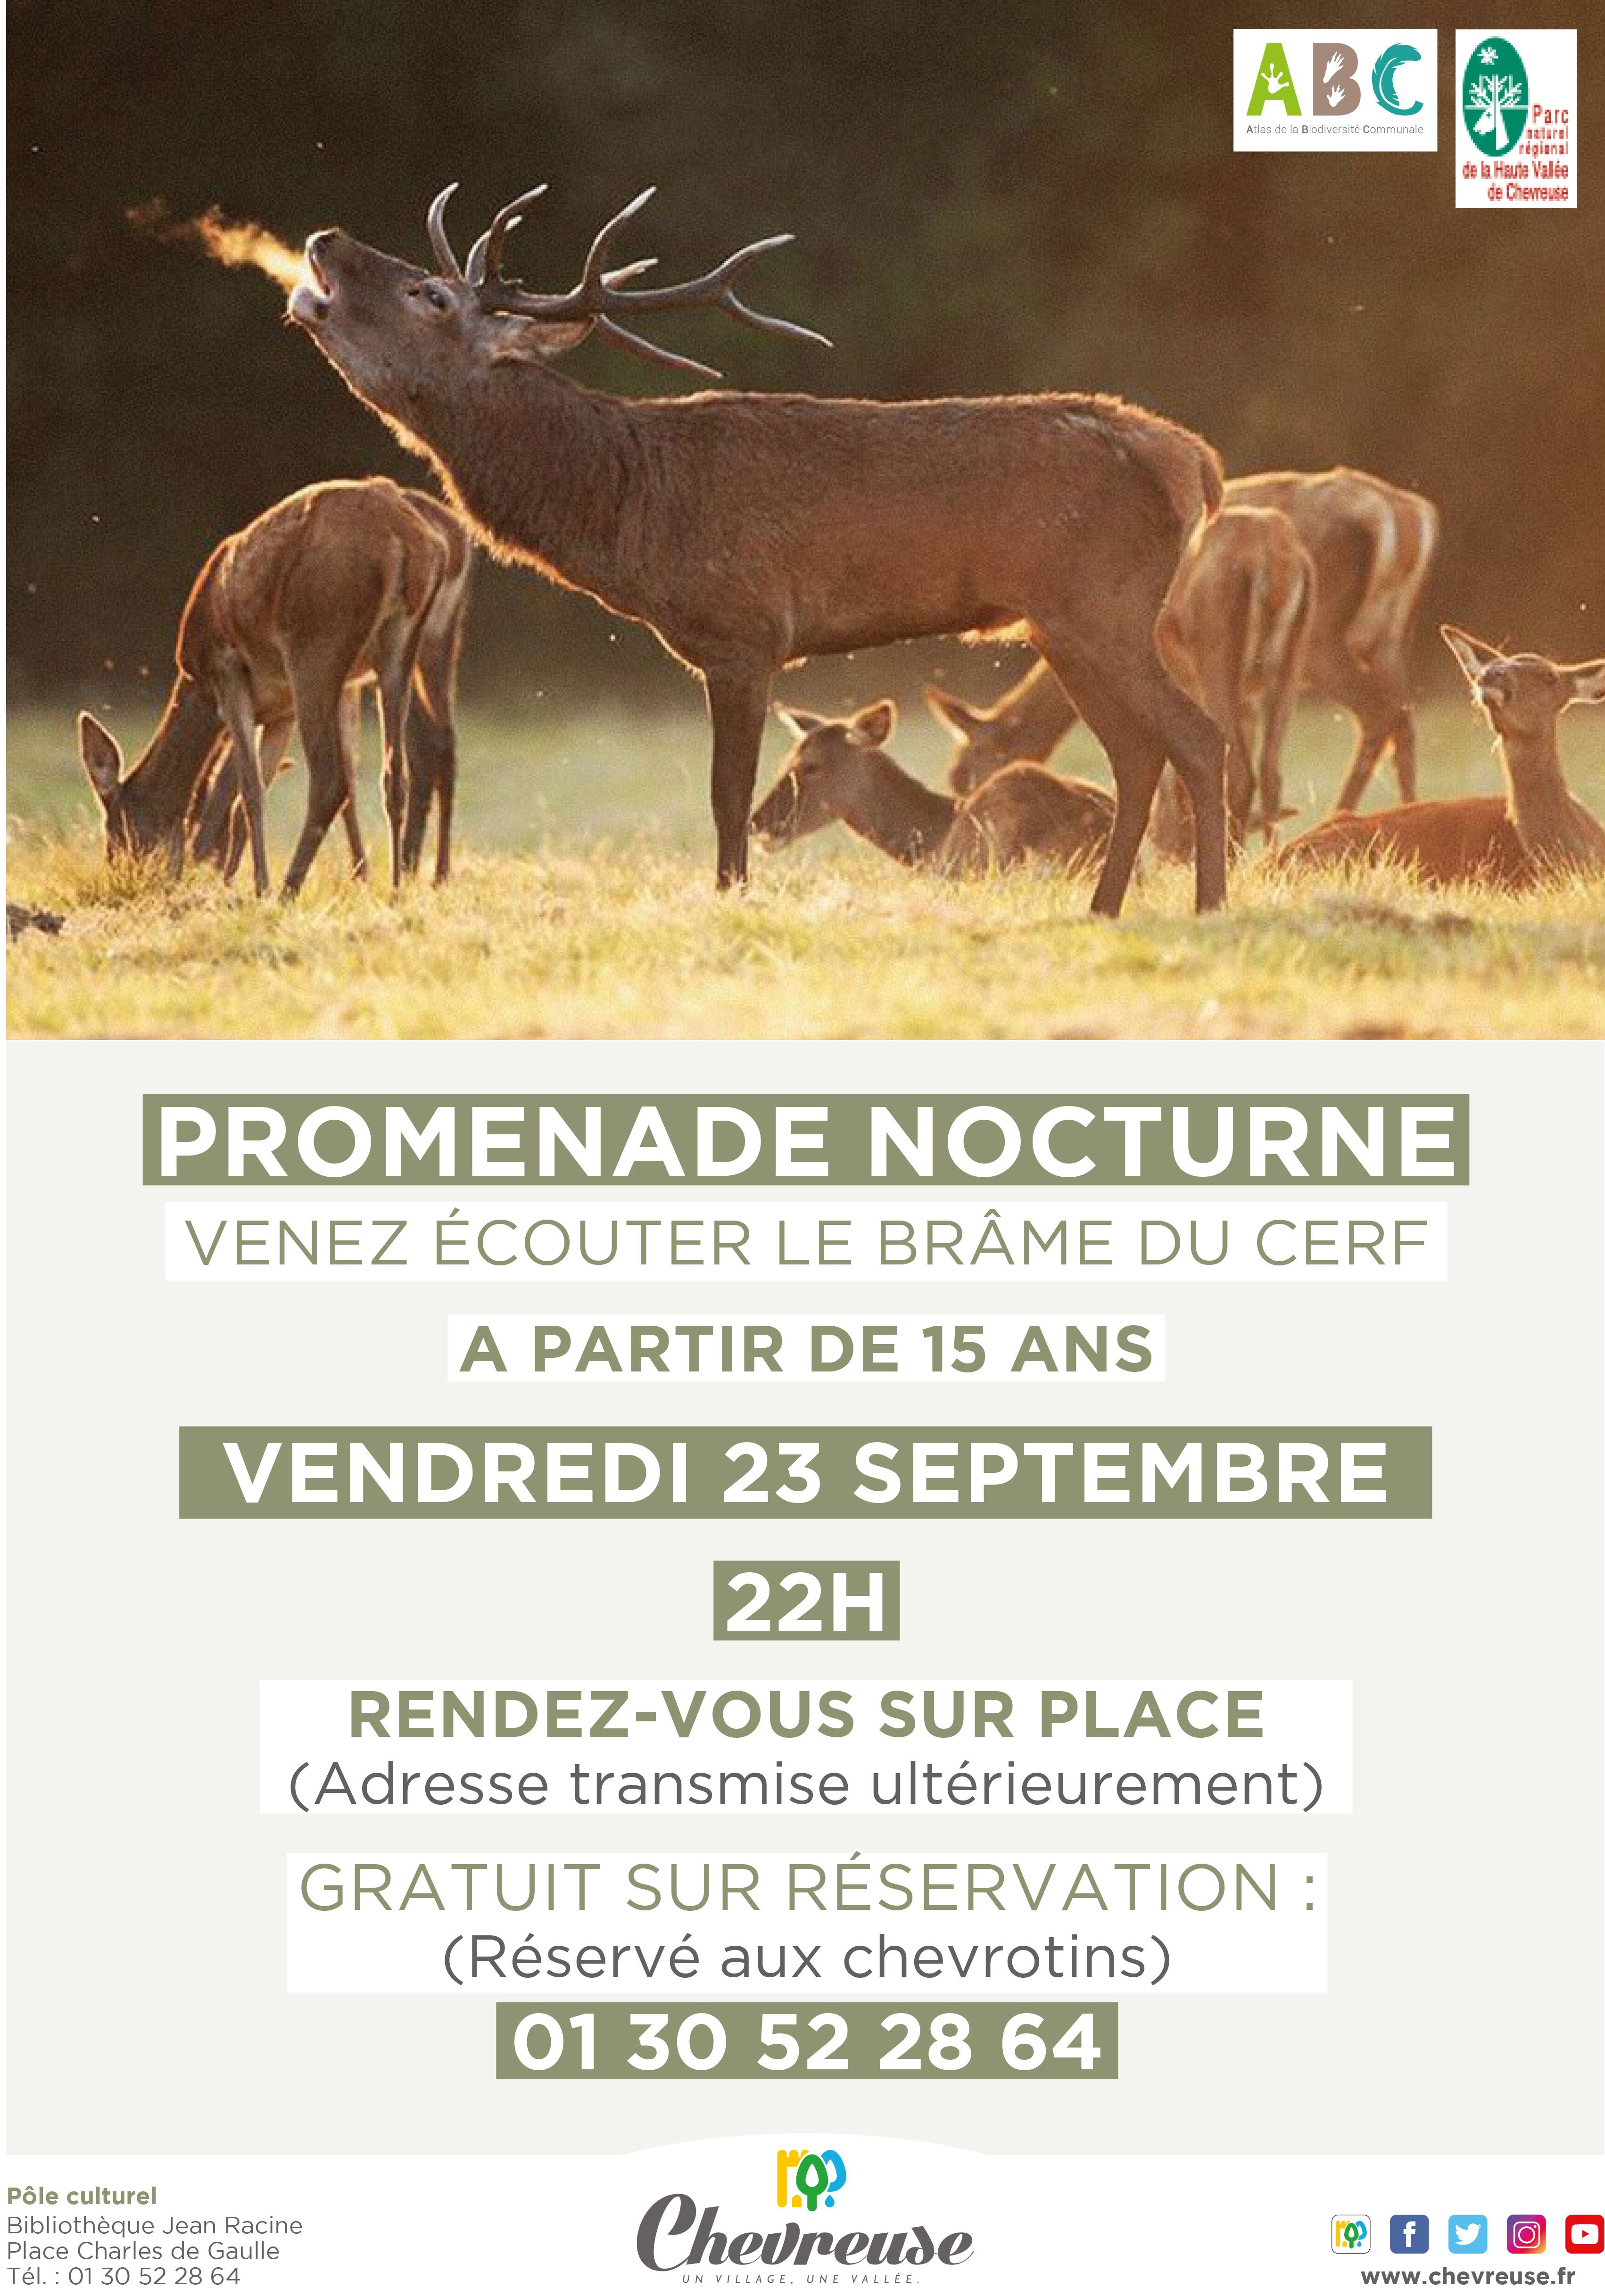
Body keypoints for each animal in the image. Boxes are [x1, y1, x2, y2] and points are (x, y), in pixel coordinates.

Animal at [78, 478, 472, 896]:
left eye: (116, 838)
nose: (128, 882)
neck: (197, 685)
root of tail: (409, 539)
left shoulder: (228, 672)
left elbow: (250, 792)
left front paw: (258, 888)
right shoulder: (282, 708)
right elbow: (247, 796)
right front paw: (237, 882)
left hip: (317, 645)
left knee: (331, 780)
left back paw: (288, 891)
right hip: (402, 646)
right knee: (399, 771)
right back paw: (397, 888)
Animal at [926, 464, 1436, 818]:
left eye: (963, 773)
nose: (967, 817)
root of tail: (1410, 516)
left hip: (1310, 642)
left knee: (1373, 716)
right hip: (1385, 639)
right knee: (1401, 721)